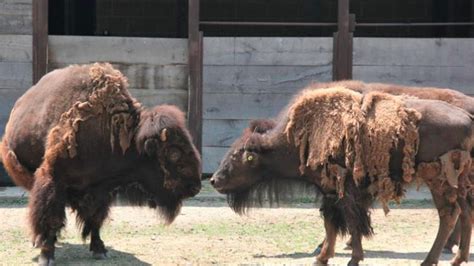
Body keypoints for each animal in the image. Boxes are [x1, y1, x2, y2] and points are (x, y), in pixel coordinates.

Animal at [0, 63, 202, 264]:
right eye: (173, 153)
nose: (195, 187)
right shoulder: (54, 180)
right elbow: (52, 218)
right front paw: (46, 256)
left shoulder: (101, 189)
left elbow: (96, 218)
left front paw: (99, 249)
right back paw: (37, 241)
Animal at [211, 87, 474, 266]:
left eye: (239, 155)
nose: (214, 180)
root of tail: (468, 118)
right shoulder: (330, 192)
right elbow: (331, 224)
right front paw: (322, 257)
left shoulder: (345, 190)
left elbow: (351, 222)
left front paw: (353, 258)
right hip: (460, 183)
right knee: (464, 213)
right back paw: (456, 259)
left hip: (440, 180)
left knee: (449, 214)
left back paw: (430, 260)